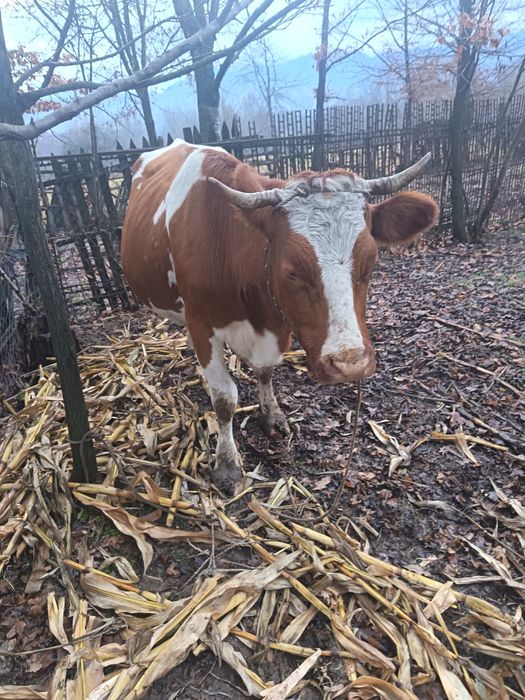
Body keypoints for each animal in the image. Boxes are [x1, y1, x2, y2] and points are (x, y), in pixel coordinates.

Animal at [121, 140, 438, 493]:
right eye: (292, 271)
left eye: (371, 261)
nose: (350, 364)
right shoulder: (202, 323)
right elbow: (224, 398)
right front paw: (227, 463)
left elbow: (265, 371)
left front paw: (271, 414)